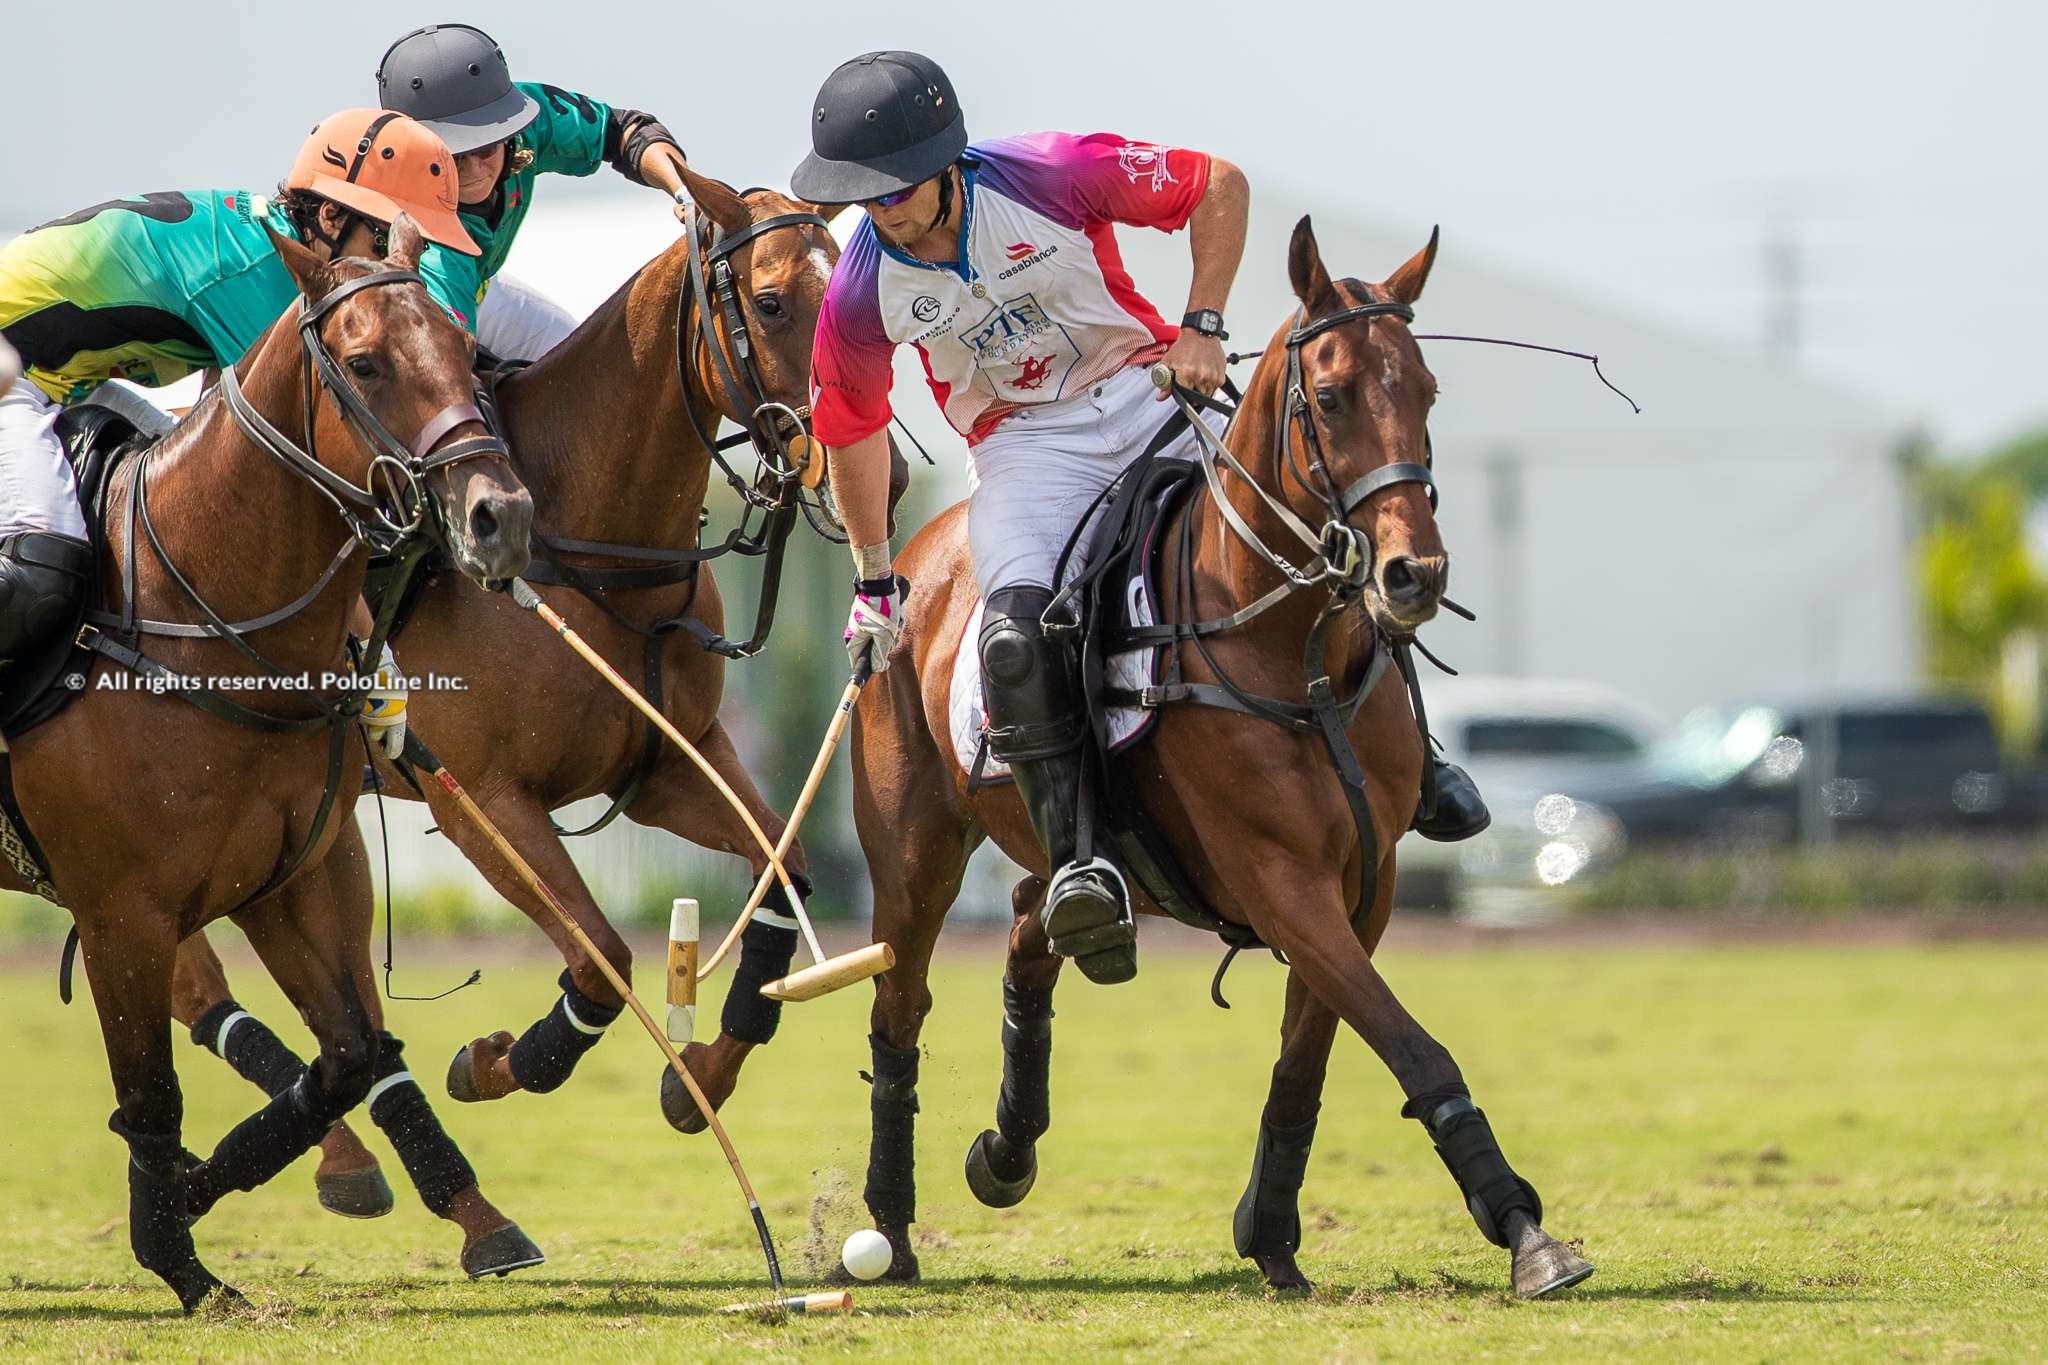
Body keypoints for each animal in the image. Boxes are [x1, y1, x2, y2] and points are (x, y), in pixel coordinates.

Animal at [0, 215, 536, 1309]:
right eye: (364, 363)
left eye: (465, 351)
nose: (499, 515)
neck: (198, 619)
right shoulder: (122, 913)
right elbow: (151, 1092)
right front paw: (183, 1264)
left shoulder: (288, 883)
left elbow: (346, 1058)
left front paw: (191, 1193)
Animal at [172, 170, 909, 1203]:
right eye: (770, 303)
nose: (881, 481)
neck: (590, 538)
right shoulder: (484, 802)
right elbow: (602, 957)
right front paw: (493, 1061)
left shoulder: (670, 763)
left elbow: (786, 867)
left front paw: (701, 1077)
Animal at [823, 222, 1589, 1301]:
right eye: (1330, 395)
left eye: (1427, 389)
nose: (1414, 575)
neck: (1295, 651)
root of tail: (917, 556)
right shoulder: (1279, 878)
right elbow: (1411, 1044)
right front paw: (1526, 1231)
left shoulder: (1365, 881)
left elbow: (1308, 1062)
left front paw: (1269, 1233)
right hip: (912, 850)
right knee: (901, 1007)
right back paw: (888, 1232)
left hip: (1091, 859)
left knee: (1035, 926)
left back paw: (1005, 1150)